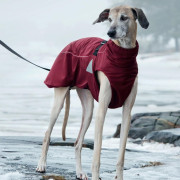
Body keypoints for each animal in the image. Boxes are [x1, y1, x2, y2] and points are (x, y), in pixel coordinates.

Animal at [36, 4, 149, 179]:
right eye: (109, 19)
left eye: (124, 17)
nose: (110, 33)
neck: (122, 59)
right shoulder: (102, 110)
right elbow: (96, 155)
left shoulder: (127, 112)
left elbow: (121, 156)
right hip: (60, 99)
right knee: (47, 133)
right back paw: (42, 164)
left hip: (88, 108)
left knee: (77, 143)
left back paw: (80, 172)